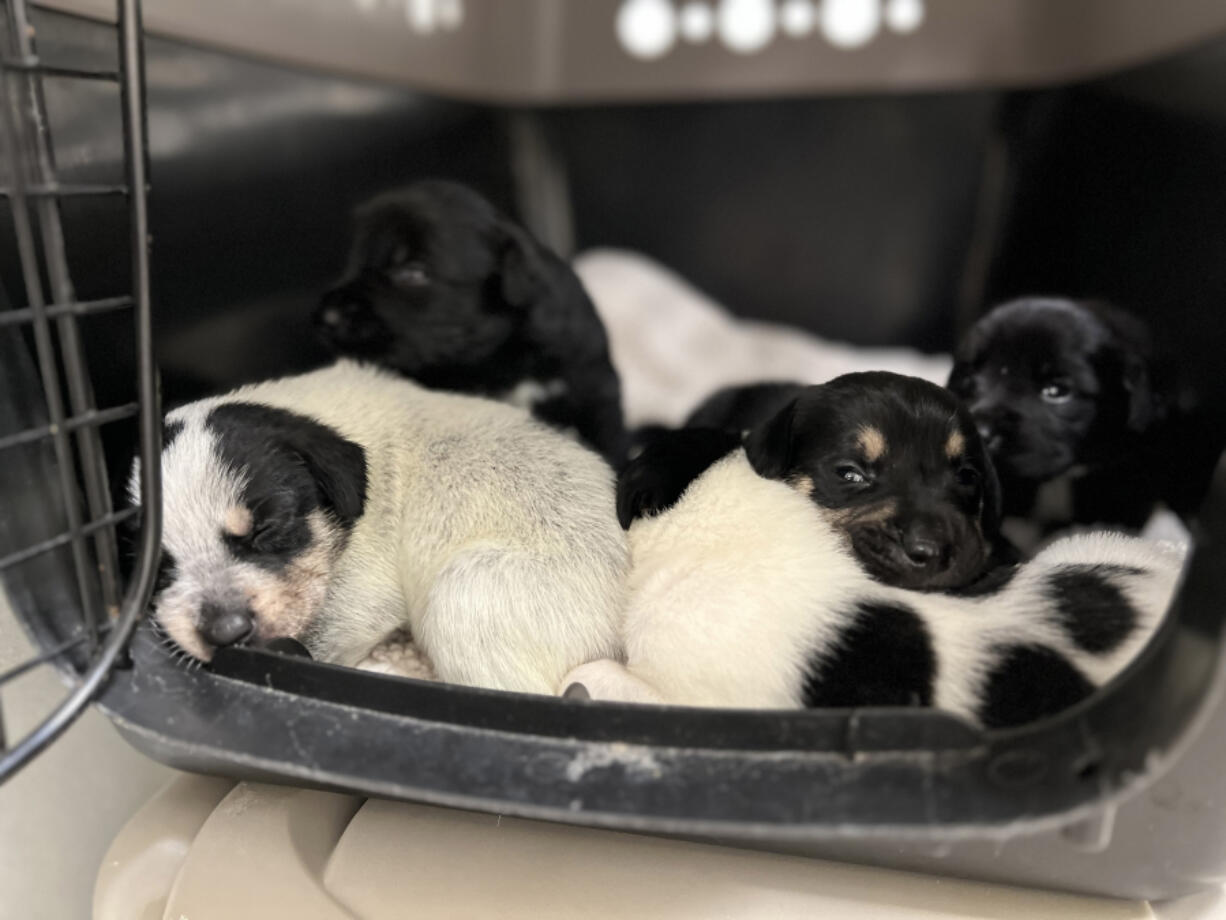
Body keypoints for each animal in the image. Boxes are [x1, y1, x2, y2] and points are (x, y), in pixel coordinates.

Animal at [311, 181, 627, 468]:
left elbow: (609, 441)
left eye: (413, 272)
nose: (327, 317)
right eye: (352, 262)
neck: (499, 356)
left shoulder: (595, 387)